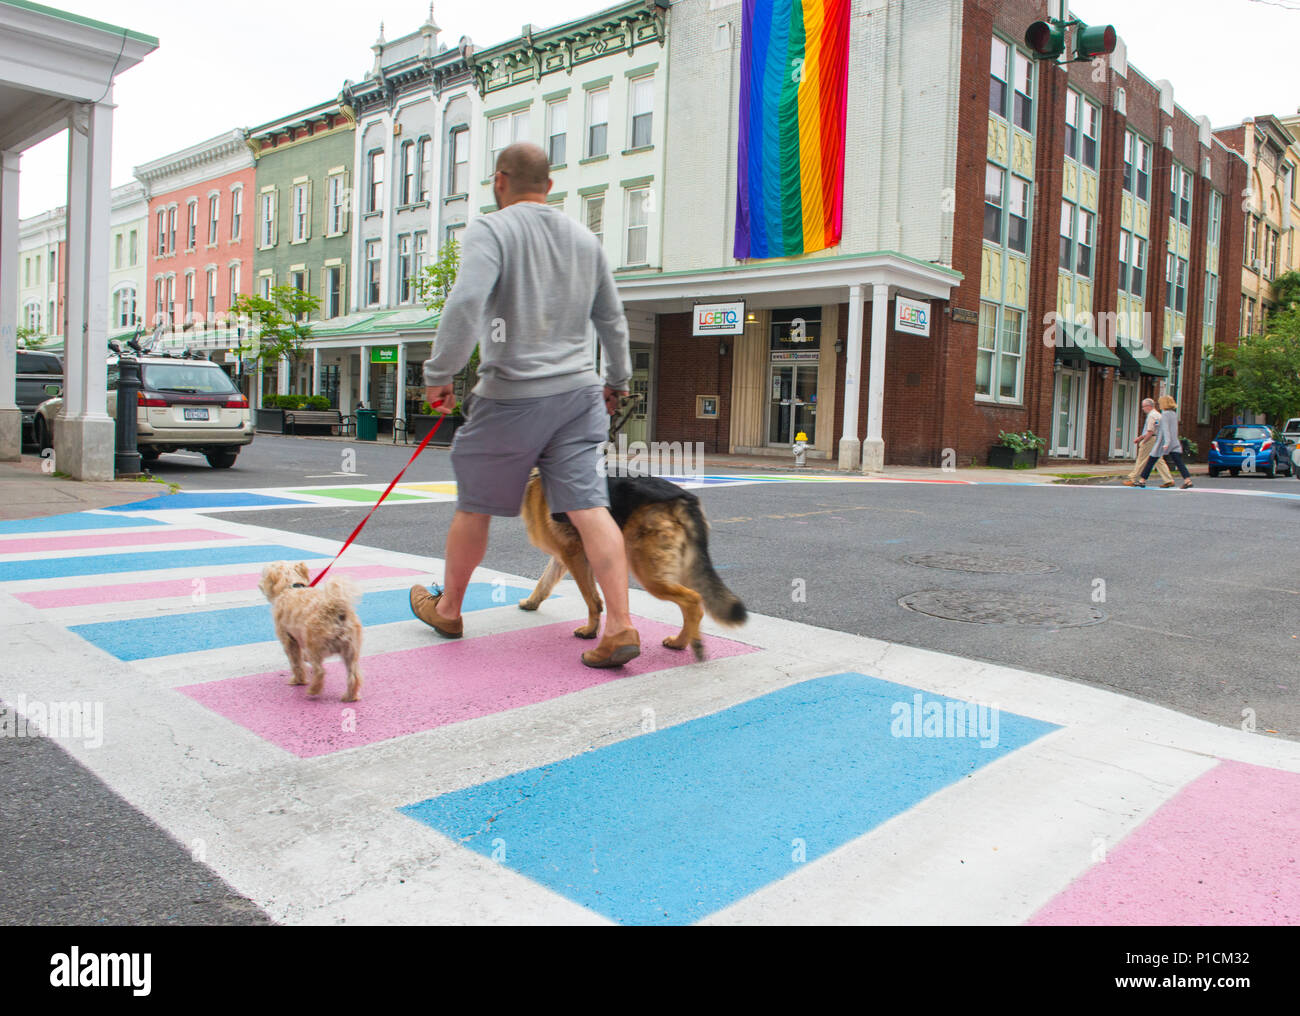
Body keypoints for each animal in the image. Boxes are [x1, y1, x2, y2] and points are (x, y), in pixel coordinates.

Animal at [258, 563, 364, 701]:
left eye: (263, 574)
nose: (259, 584)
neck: (291, 587)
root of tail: (334, 607)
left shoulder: (289, 640)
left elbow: (296, 663)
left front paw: (298, 680)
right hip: (350, 650)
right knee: (353, 674)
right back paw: (350, 696)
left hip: (314, 646)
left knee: (320, 671)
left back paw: (313, 690)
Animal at [514, 470, 748, 660]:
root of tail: (683, 497)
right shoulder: (564, 557)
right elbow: (544, 583)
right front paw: (532, 603)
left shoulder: (575, 557)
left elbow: (592, 599)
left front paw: (590, 631)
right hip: (677, 569)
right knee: (691, 602)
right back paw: (681, 641)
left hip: (648, 573)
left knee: (692, 600)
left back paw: (690, 643)